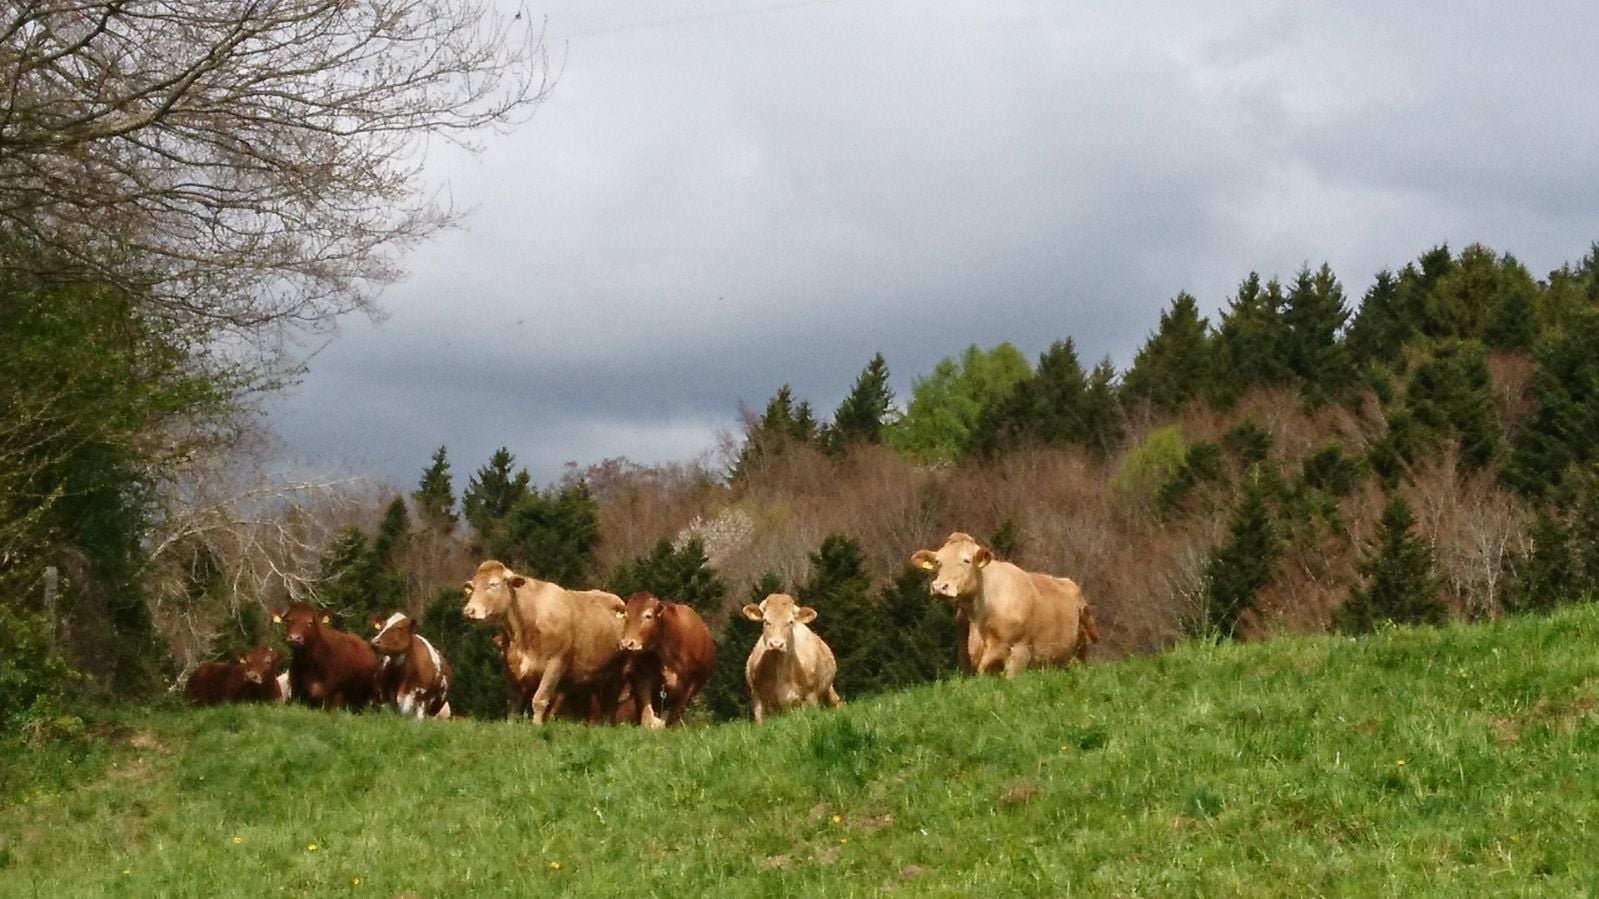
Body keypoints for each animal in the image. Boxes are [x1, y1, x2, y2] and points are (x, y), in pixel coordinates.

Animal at [462, 560, 628, 724]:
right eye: (473, 587)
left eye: (494, 584)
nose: (469, 611)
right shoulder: (509, 668)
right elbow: (513, 705)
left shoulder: (555, 664)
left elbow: (539, 700)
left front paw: (536, 726)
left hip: (616, 675)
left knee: (610, 704)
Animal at [618, 591, 715, 728]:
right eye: (626, 615)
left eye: (648, 616)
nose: (627, 643)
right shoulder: (642, 678)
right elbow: (647, 711)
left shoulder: (691, 684)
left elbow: (673, 716)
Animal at [742, 593, 842, 722]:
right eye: (765, 620)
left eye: (790, 622)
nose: (776, 644)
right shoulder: (757, 698)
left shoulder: (810, 695)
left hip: (828, 688)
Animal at [911, 531, 1098, 677]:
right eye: (938, 562)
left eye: (966, 560)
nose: (939, 587)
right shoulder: (965, 657)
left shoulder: (1019, 652)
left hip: (1078, 653)